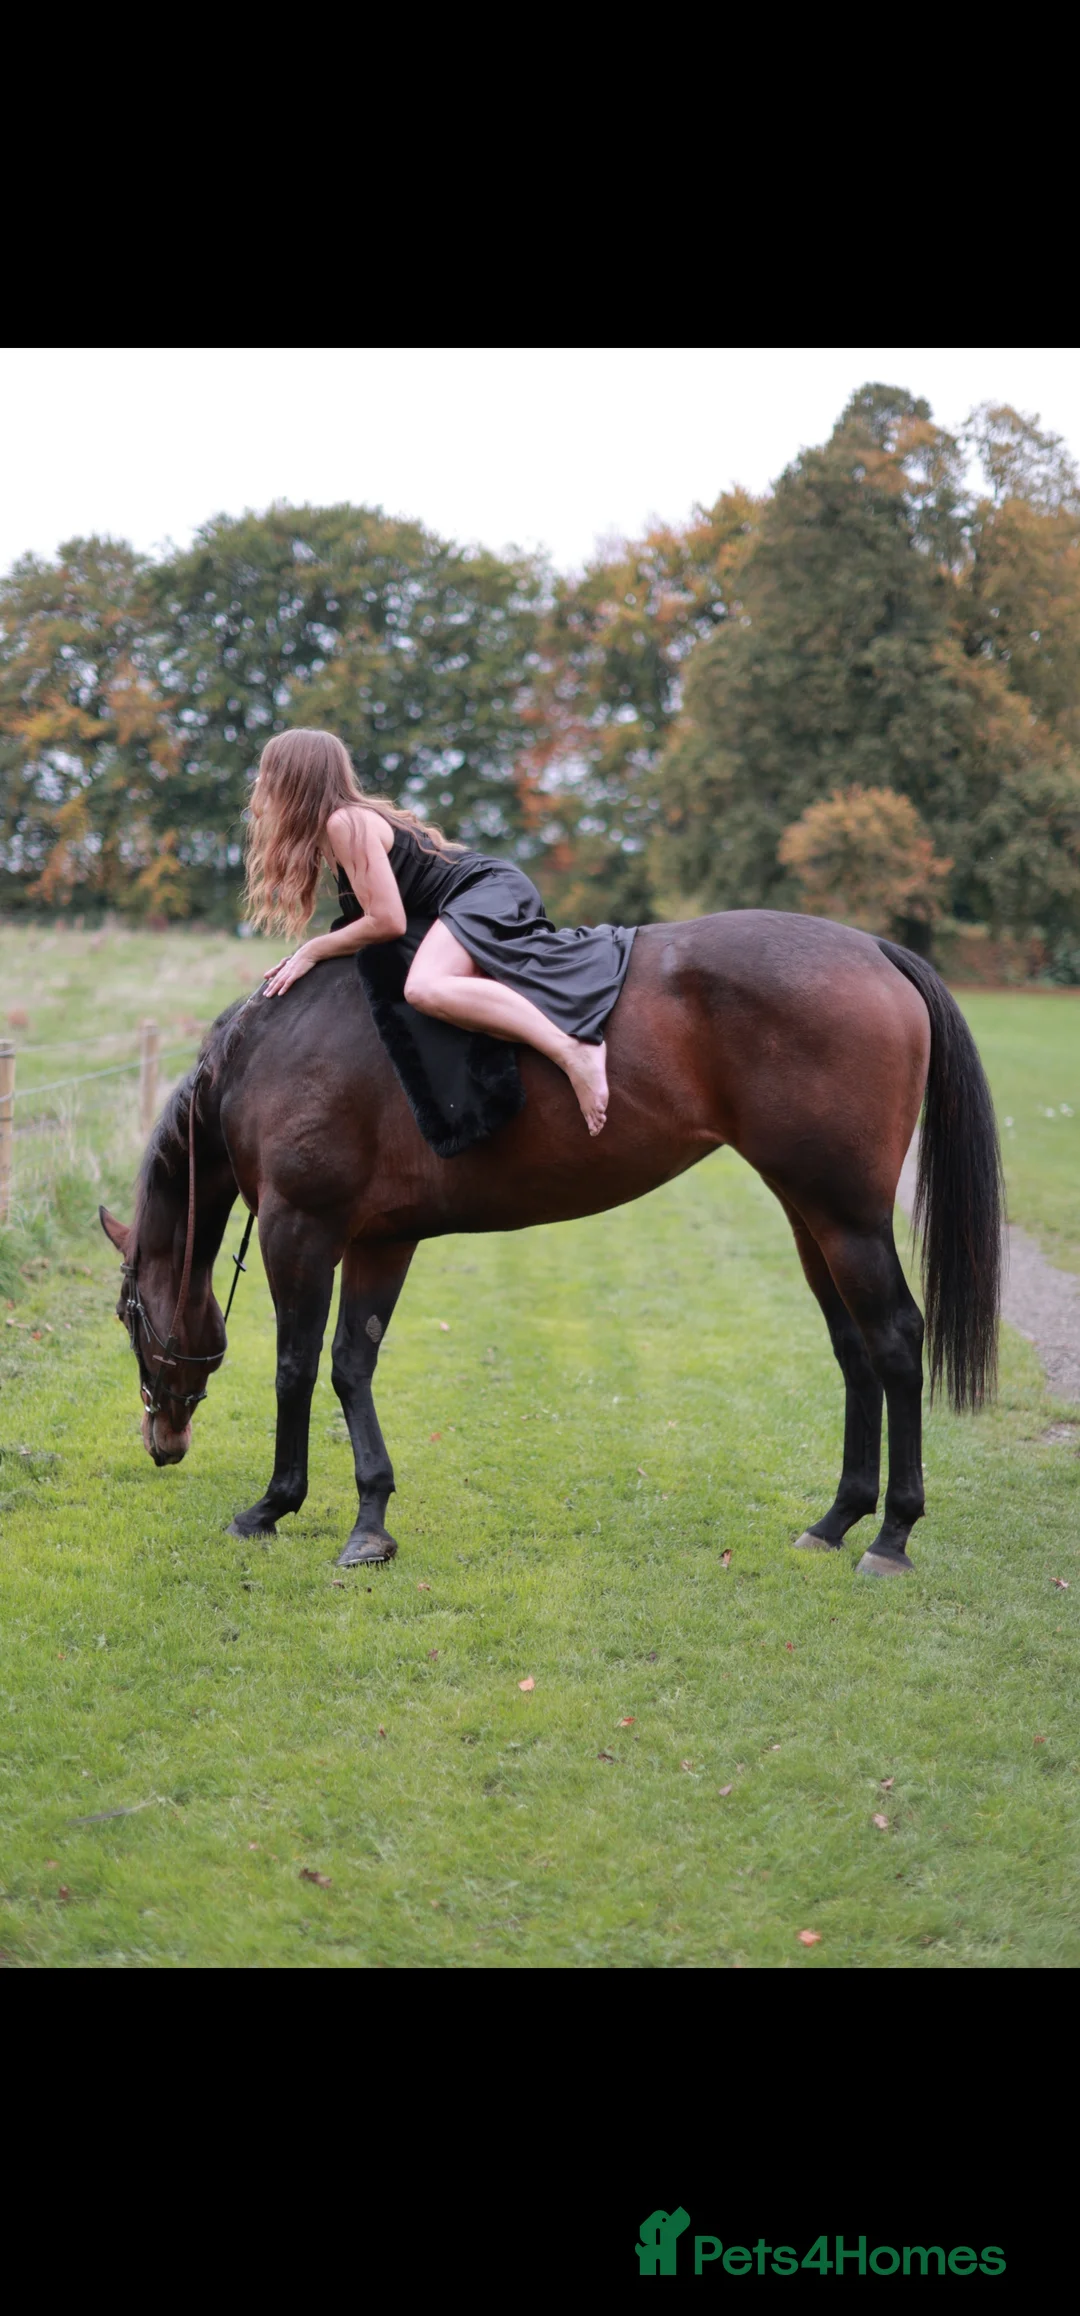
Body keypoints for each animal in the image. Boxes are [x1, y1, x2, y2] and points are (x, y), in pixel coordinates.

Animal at [99, 910, 1002, 1577]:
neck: (276, 1047)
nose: (161, 1441)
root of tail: (874, 949)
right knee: (854, 1349)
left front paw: (274, 1504)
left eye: (128, 1314)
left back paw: (891, 1536)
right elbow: (353, 1367)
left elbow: (294, 1368)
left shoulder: (303, 1231)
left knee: (895, 1342)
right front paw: (372, 1518)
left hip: (845, 1217)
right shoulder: (382, 1241)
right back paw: (837, 1518)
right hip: (809, 1215)